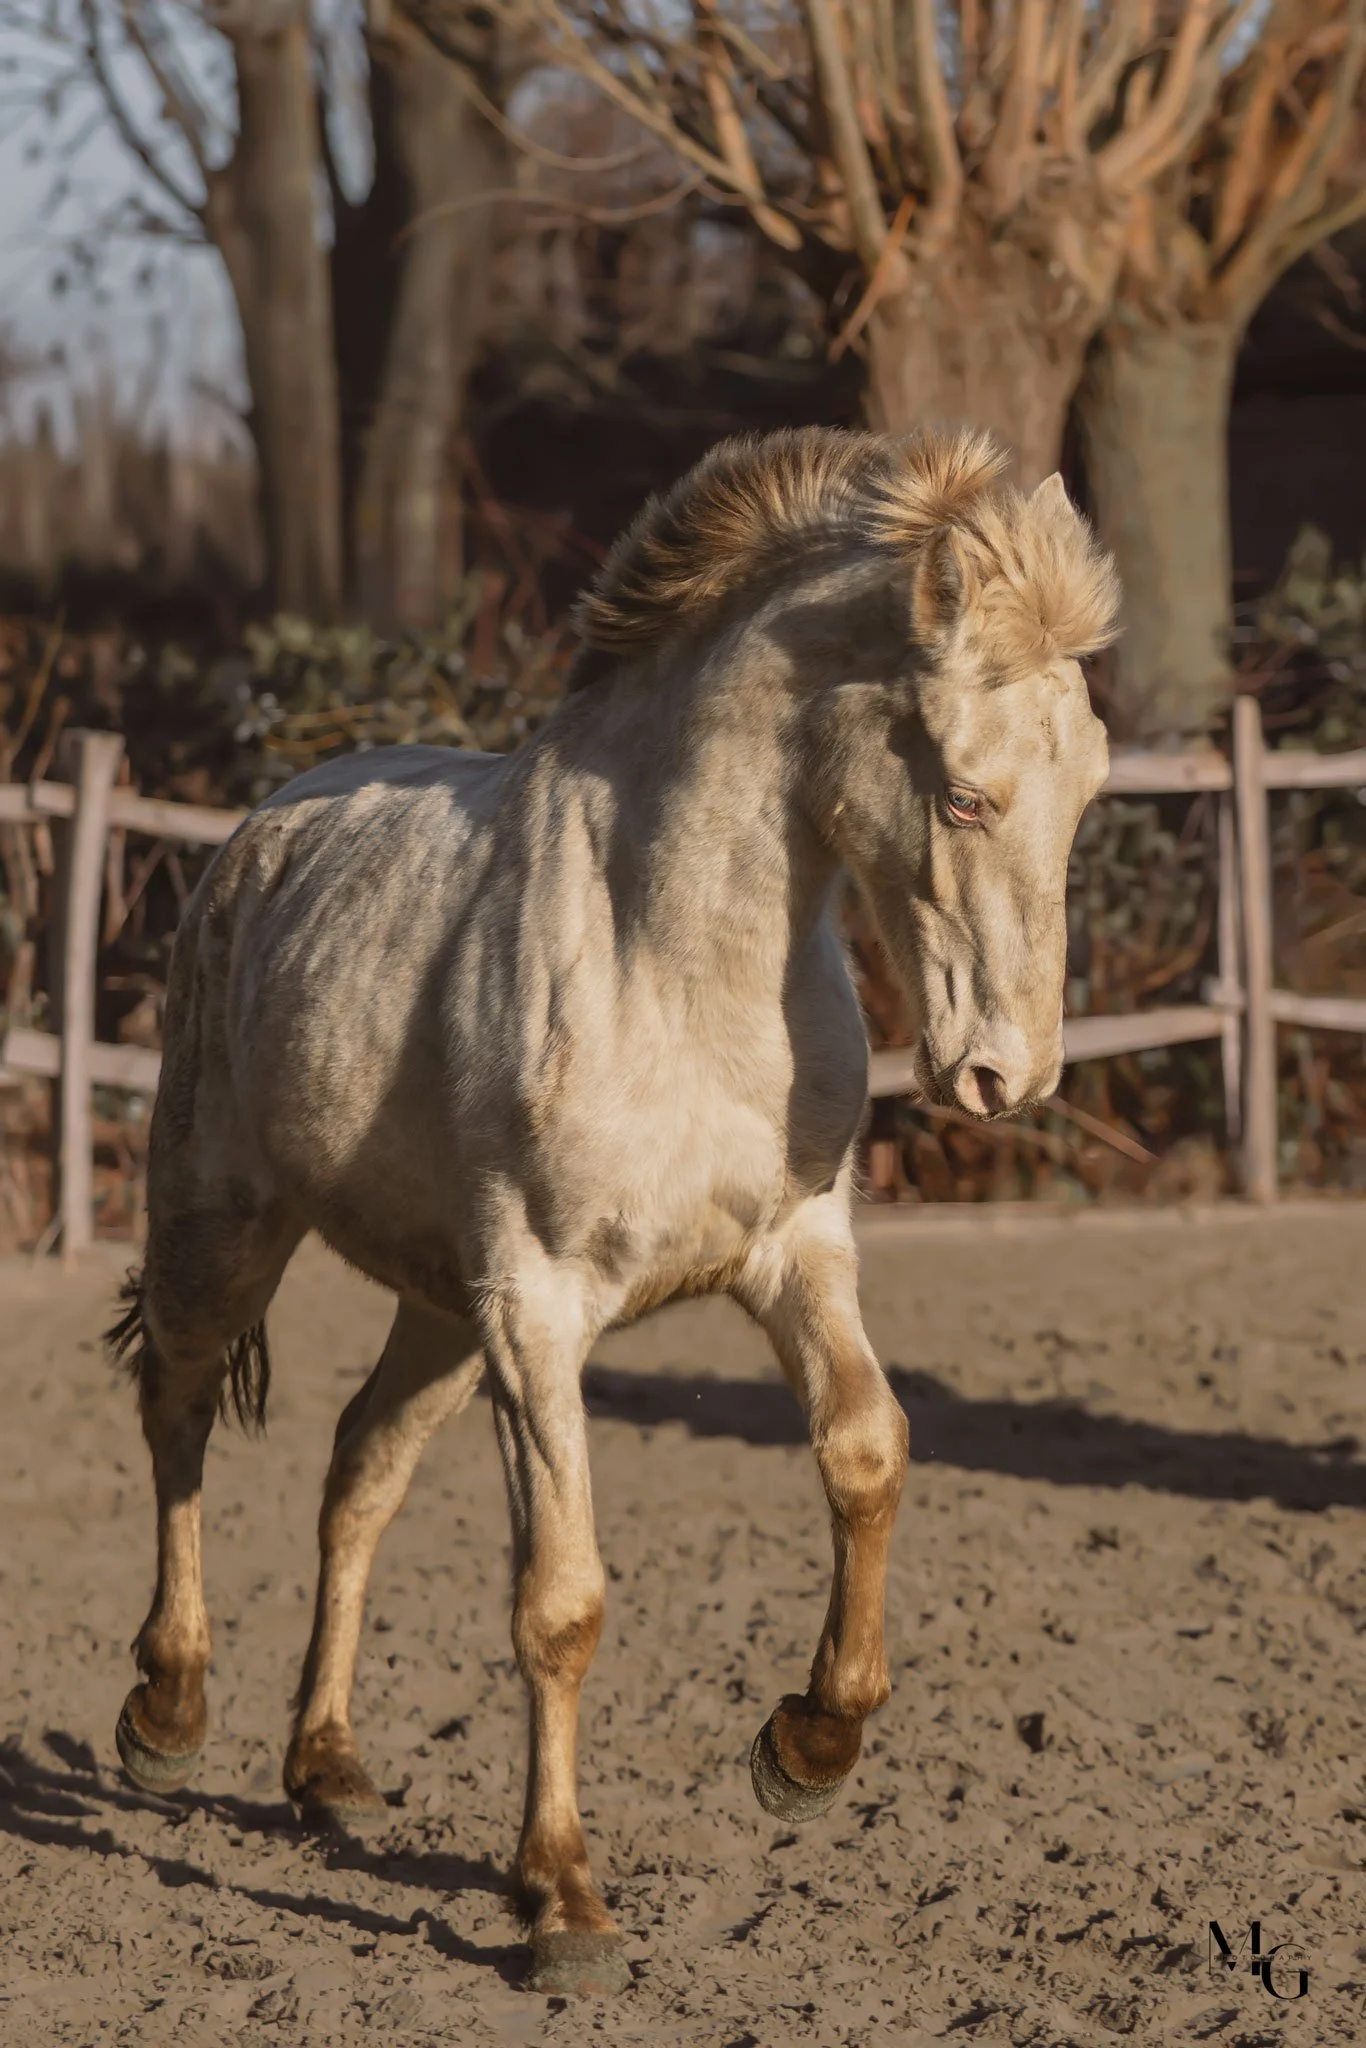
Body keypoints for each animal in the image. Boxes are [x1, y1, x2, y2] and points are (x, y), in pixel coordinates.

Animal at [106, 424, 1118, 1995]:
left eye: (1091, 790)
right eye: (961, 792)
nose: (1008, 1075)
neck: (677, 956)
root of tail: (255, 837)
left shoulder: (794, 1259)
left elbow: (869, 1448)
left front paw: (807, 1746)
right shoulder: (539, 1310)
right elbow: (562, 1599)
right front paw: (562, 1901)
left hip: (434, 1306)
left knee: (358, 1469)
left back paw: (326, 1768)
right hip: (226, 1224)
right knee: (180, 1411)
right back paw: (167, 1712)